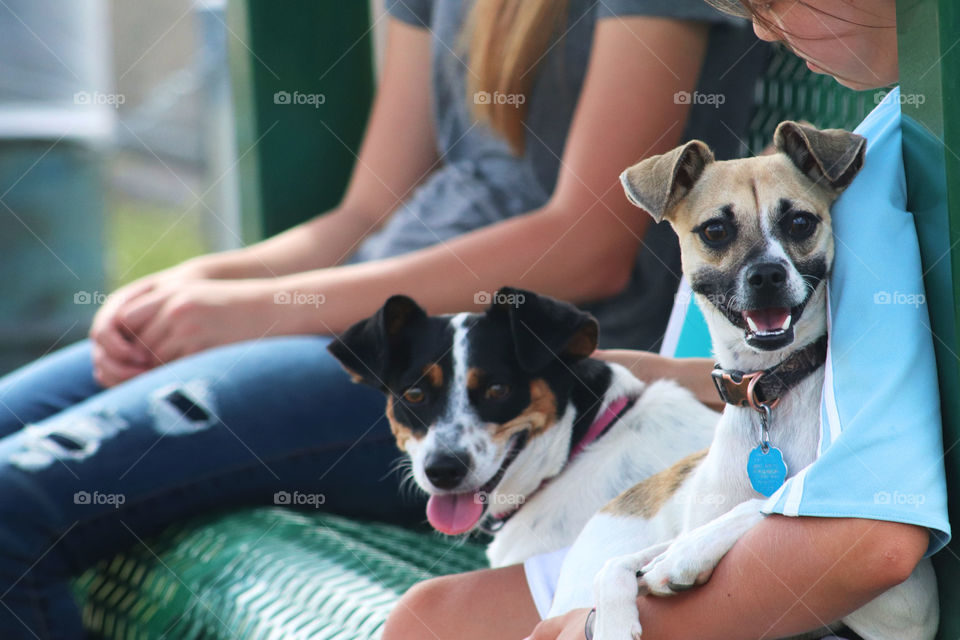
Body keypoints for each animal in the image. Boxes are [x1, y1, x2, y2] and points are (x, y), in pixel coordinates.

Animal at [548, 121, 936, 640]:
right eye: (716, 230)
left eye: (800, 223)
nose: (767, 274)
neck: (767, 391)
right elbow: (615, 565)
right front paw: (612, 621)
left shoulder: (907, 605)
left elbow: (764, 504)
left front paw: (686, 556)